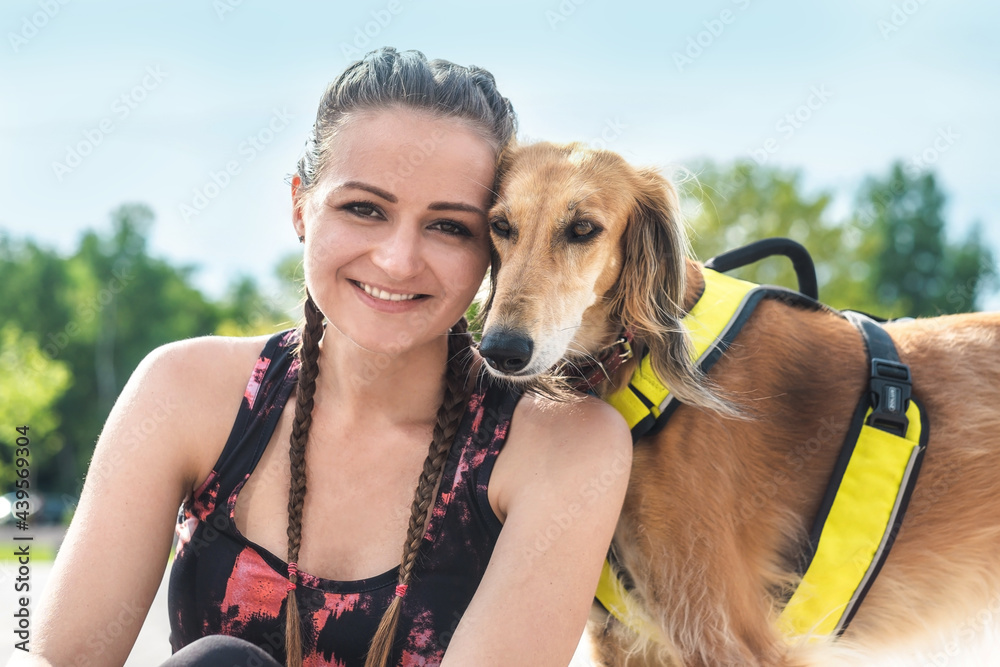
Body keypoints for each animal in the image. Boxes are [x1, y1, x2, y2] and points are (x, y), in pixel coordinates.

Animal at [474, 138, 1000, 664]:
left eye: (583, 228)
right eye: (500, 226)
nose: (500, 351)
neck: (636, 357)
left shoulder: (726, 632)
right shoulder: (628, 639)